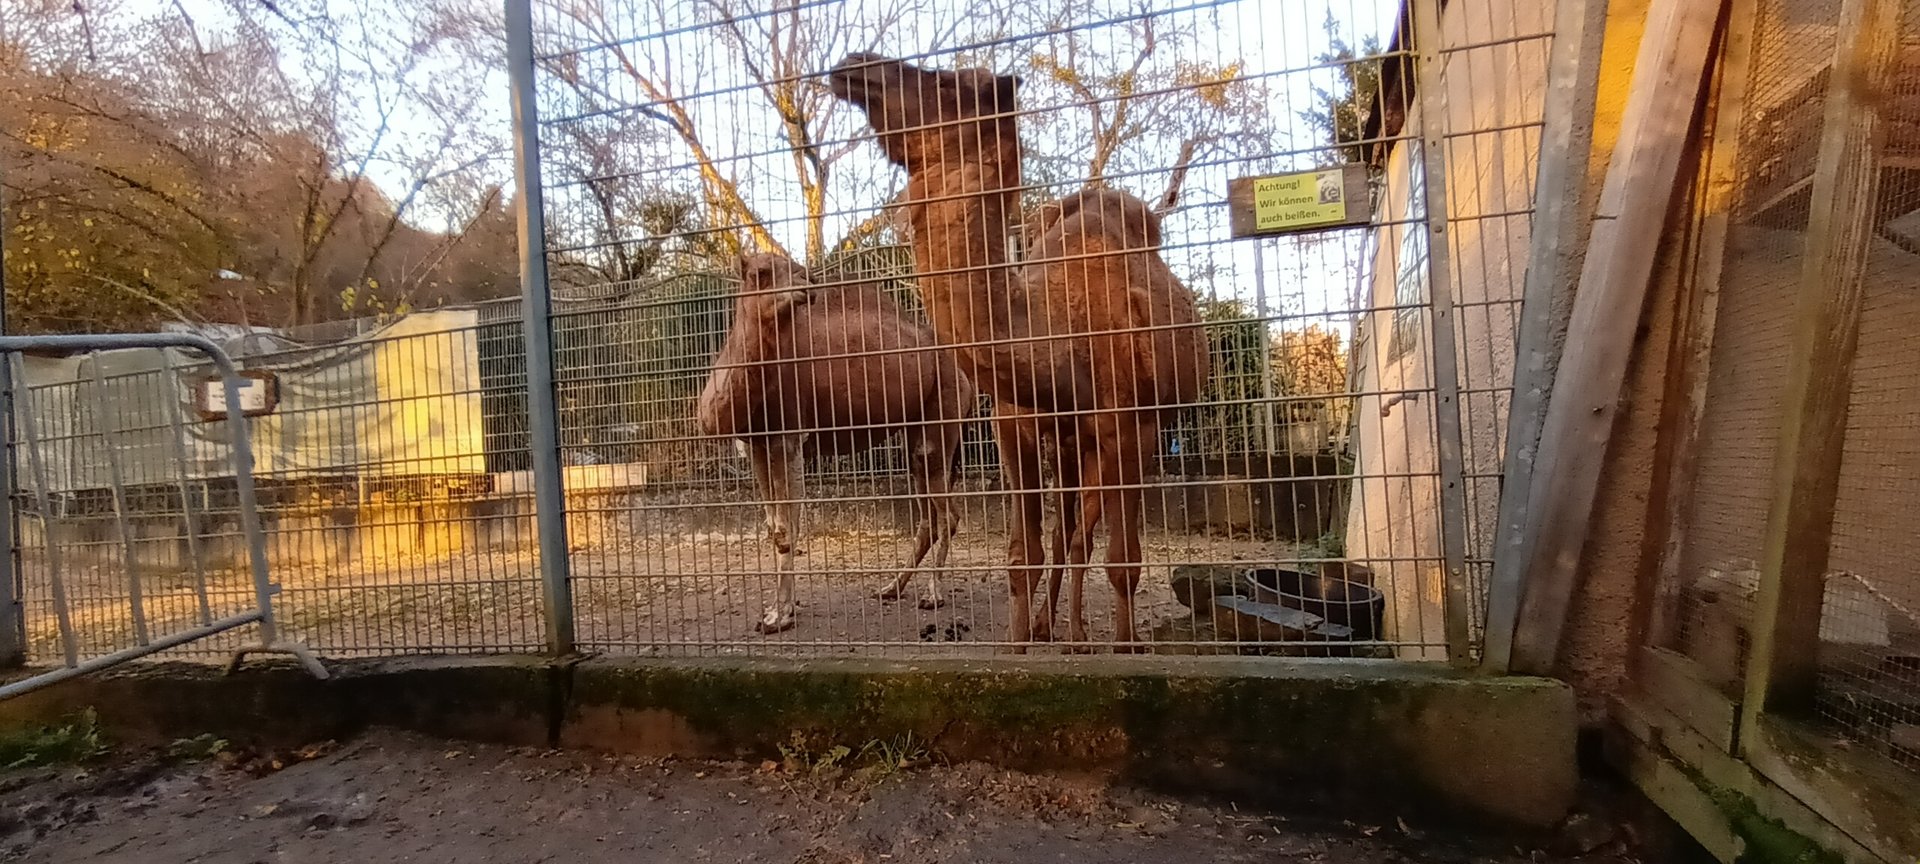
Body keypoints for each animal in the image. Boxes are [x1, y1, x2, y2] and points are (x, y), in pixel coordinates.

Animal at [694, 252, 977, 634]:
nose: (806, 283)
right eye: (760, 273)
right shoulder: (757, 445)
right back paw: (890, 588)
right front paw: (777, 610)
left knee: (947, 514)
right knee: (928, 514)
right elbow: (772, 528)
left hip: (941, 416)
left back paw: (932, 594)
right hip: (917, 432)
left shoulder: (789, 438)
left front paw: (779, 616)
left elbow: (786, 529)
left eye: (797, 268)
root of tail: (961, 369)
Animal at [828, 54, 1210, 650]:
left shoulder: (1133, 428)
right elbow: (1021, 555)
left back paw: (1076, 633)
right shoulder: (1015, 427)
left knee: (1080, 537)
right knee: (1066, 533)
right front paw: (1017, 643)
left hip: (1108, 440)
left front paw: (1125, 648)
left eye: (948, 82)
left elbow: (1123, 560)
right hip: (1068, 445)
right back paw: (1052, 625)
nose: (855, 66)